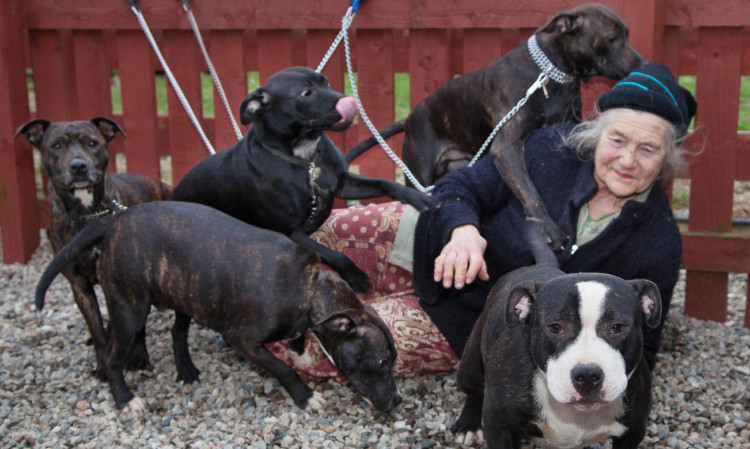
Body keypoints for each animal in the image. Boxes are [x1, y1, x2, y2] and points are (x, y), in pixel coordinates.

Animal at [16, 117, 172, 376]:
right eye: (56, 146)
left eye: (92, 143)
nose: (78, 166)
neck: (90, 214)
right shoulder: (79, 286)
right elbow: (96, 327)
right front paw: (102, 362)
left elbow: (136, 327)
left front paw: (138, 357)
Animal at [35, 201, 402, 414]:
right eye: (381, 362)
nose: (399, 400)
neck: (310, 289)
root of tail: (116, 220)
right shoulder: (243, 339)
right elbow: (282, 369)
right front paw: (304, 395)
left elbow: (296, 346)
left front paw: (300, 353)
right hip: (130, 310)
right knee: (113, 355)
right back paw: (125, 399)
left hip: (187, 292)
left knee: (177, 332)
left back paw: (184, 368)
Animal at [170, 65, 438, 290]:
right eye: (306, 93)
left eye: (326, 82)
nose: (349, 101)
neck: (307, 160)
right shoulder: (292, 232)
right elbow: (335, 255)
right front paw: (357, 277)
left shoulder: (341, 184)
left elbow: (386, 183)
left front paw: (418, 197)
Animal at [346, 2, 648, 248]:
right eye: (611, 38)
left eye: (627, 34)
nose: (643, 64)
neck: (551, 73)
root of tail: (409, 119)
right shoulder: (507, 148)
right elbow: (530, 190)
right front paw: (549, 229)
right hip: (418, 175)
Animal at [450, 219, 660, 446]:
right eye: (556, 327)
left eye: (617, 327)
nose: (587, 375)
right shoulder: (498, 425)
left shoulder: (634, 430)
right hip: (470, 368)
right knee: (473, 391)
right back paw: (468, 425)